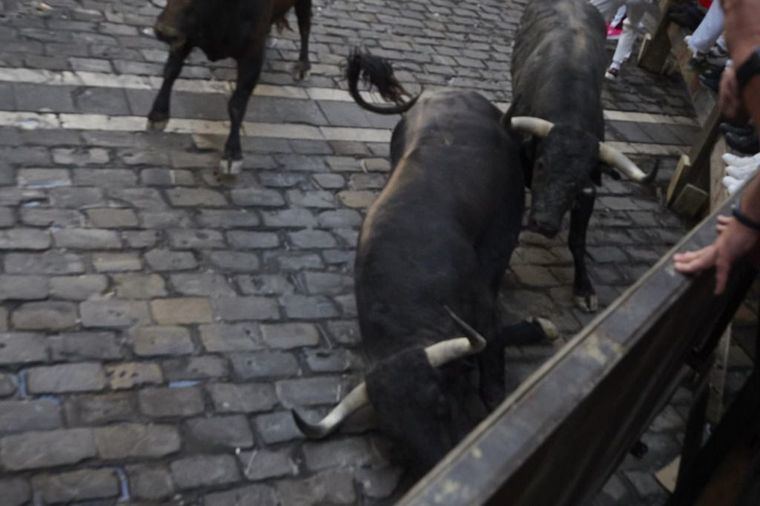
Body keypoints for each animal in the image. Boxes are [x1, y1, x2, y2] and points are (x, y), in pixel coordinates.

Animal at [148, 0, 312, 176]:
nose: (164, 31)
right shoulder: (186, 37)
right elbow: (171, 71)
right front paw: (158, 115)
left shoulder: (252, 56)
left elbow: (237, 105)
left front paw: (232, 154)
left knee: (305, 25)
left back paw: (303, 66)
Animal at [510, 0, 660, 312]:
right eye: (541, 164)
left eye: (578, 180)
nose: (543, 224)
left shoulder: (589, 190)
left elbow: (577, 240)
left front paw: (584, 287)